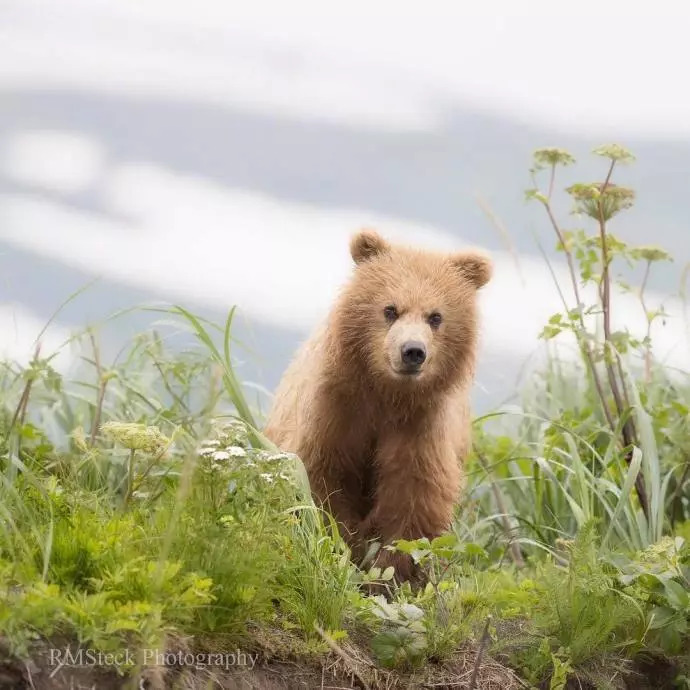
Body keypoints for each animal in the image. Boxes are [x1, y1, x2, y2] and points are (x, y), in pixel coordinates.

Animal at [262, 227, 490, 580]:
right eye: (390, 309)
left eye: (436, 316)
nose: (412, 351)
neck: (386, 395)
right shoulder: (336, 412)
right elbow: (323, 483)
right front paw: (340, 549)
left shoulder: (421, 428)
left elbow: (413, 501)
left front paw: (391, 575)